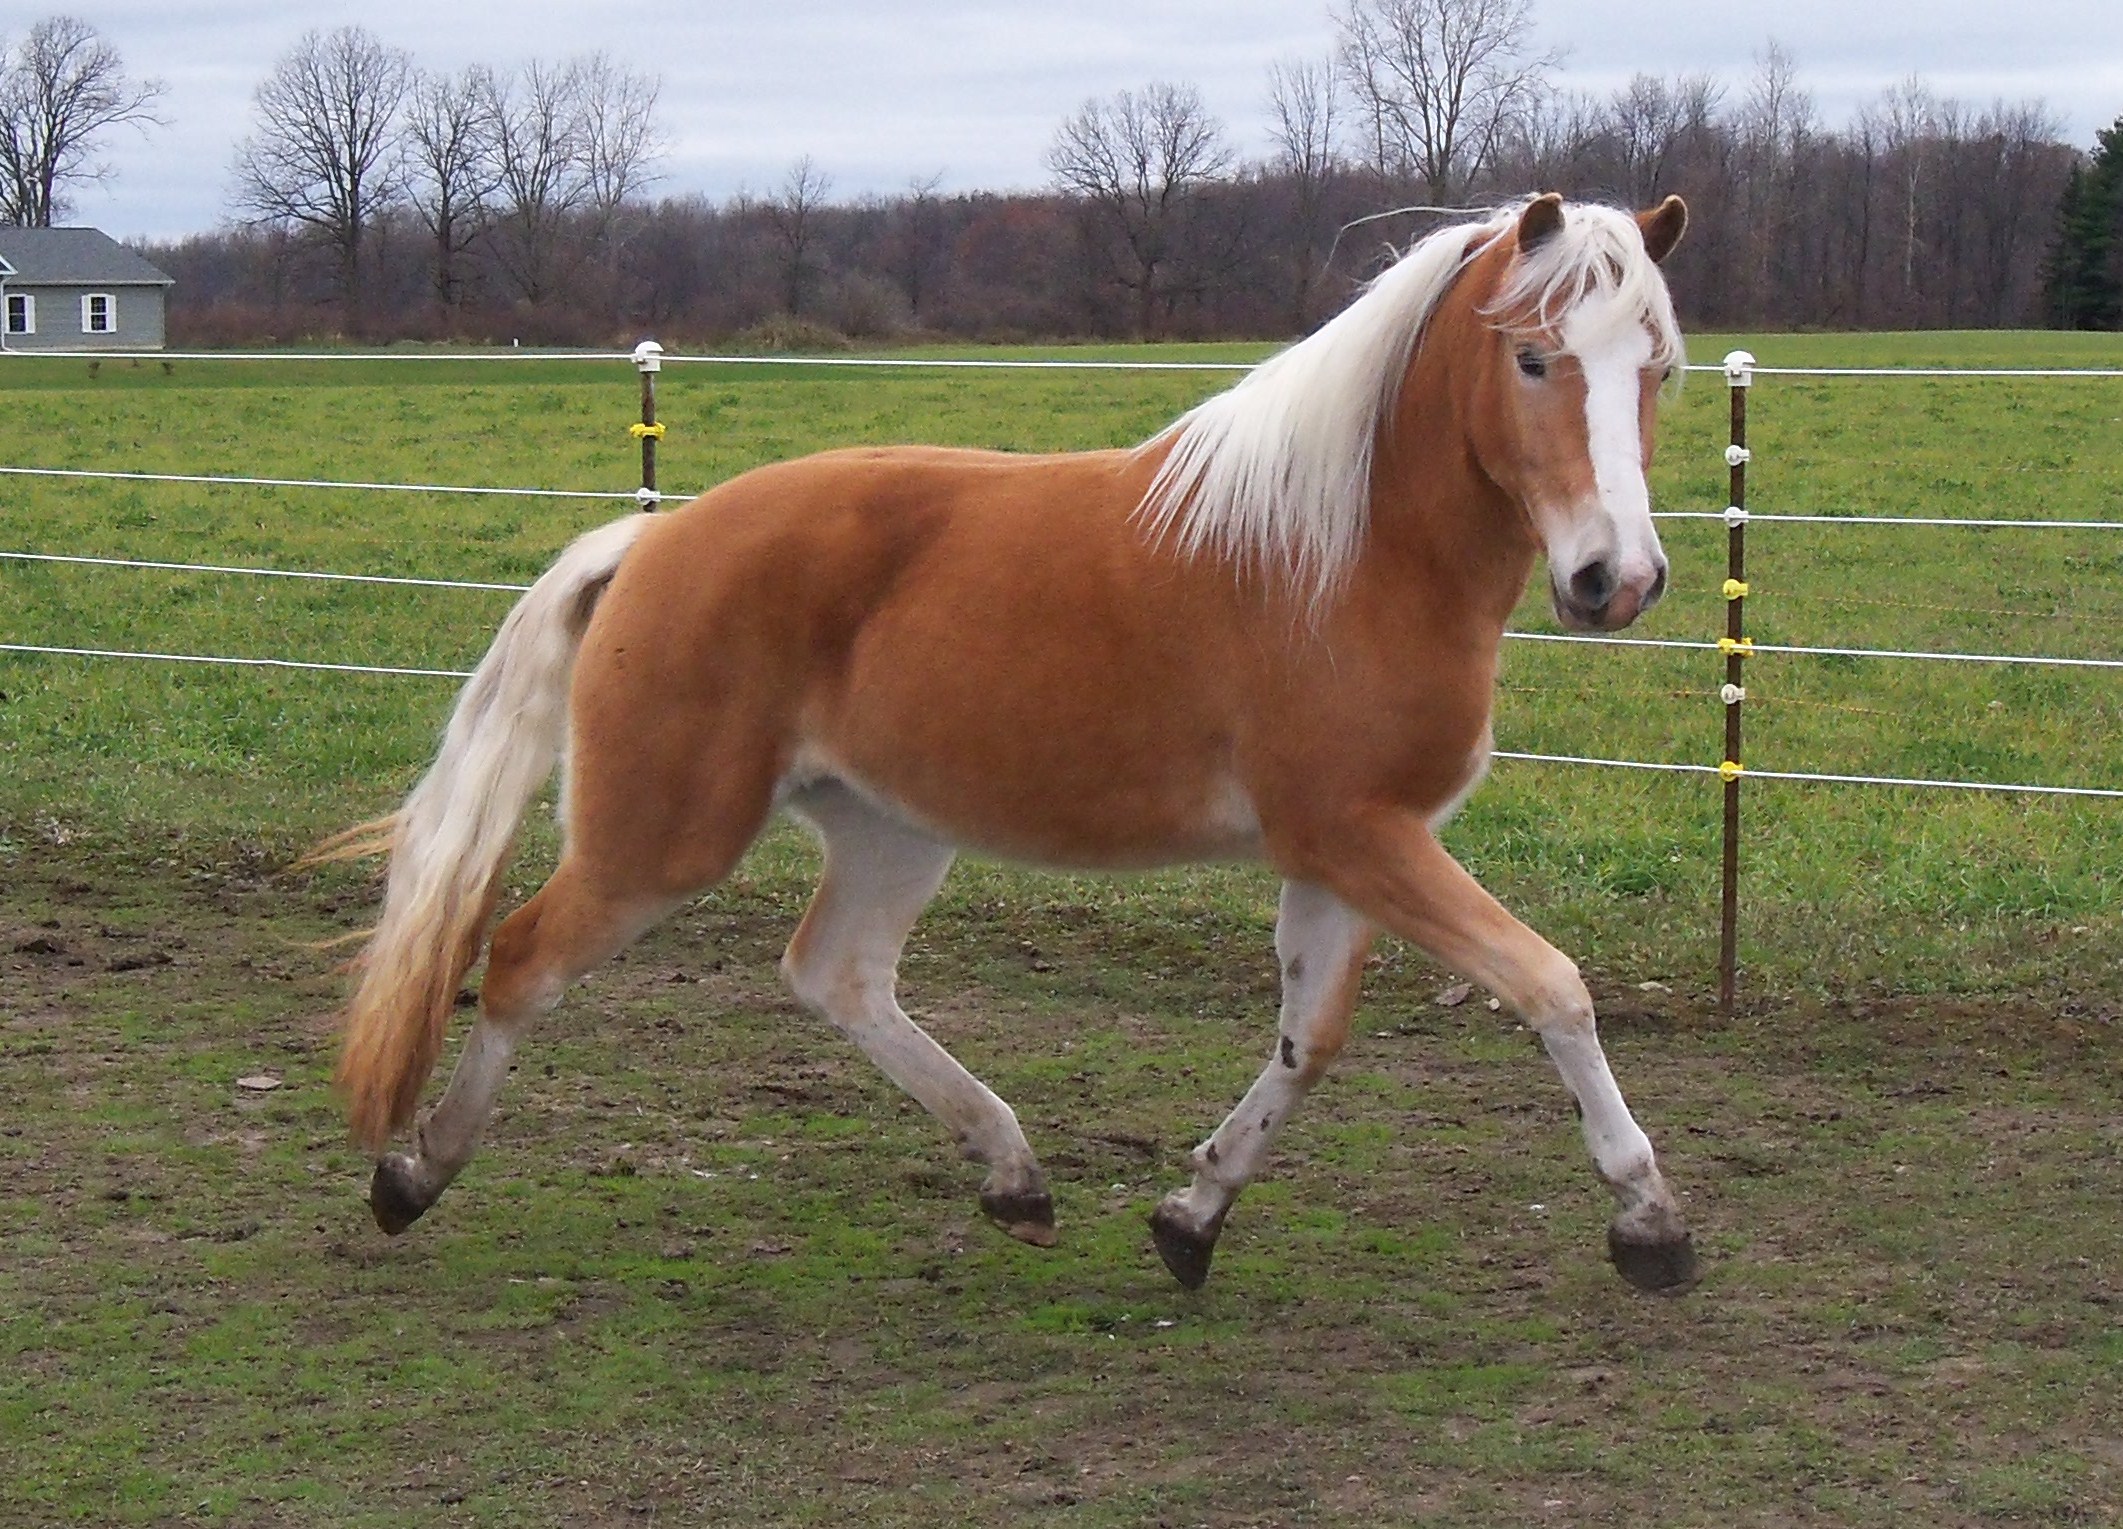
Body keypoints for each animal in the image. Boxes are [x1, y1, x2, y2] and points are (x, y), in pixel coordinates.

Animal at [322, 191, 1698, 1294]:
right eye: (1532, 357)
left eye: (1659, 368)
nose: (1613, 579)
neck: (1349, 553)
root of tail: (656, 540)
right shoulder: (1357, 836)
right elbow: (1551, 985)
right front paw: (1648, 1220)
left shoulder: (1348, 852)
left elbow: (1307, 1044)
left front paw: (1190, 1214)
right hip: (659, 838)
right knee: (518, 960)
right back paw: (412, 1174)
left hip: (886, 829)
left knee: (834, 975)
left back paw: (1013, 1172)